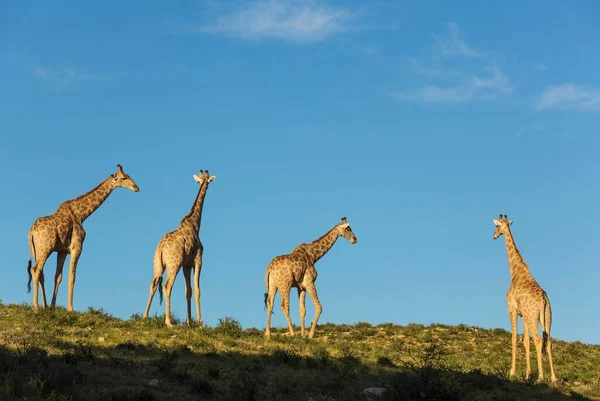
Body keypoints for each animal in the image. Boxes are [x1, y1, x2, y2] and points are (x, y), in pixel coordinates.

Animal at [25, 164, 139, 310]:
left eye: (129, 176)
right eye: (123, 178)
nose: (136, 188)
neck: (82, 214)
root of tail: (32, 231)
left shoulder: (62, 251)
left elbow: (58, 276)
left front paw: (52, 307)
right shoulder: (77, 247)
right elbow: (72, 276)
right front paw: (70, 309)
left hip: (36, 250)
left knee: (41, 273)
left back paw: (43, 305)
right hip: (45, 248)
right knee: (36, 270)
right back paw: (36, 307)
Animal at [142, 167, 217, 326]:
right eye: (206, 182)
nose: (206, 186)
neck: (195, 224)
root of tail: (161, 248)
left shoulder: (186, 265)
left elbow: (188, 291)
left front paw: (189, 322)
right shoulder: (197, 260)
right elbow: (197, 290)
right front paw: (199, 322)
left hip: (158, 264)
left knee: (153, 284)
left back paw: (145, 317)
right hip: (173, 264)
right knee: (167, 286)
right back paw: (168, 322)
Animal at [492, 212, 556, 382]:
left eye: (496, 226)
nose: (494, 236)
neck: (514, 271)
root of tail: (543, 300)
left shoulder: (512, 308)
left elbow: (514, 338)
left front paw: (512, 372)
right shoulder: (523, 315)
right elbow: (526, 341)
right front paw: (527, 374)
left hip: (533, 316)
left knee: (539, 340)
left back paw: (541, 377)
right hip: (546, 317)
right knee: (548, 341)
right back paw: (553, 378)